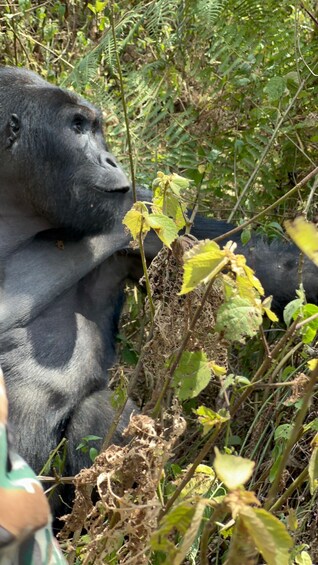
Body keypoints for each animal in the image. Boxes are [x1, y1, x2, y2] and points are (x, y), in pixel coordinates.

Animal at [0, 66, 318, 516]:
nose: (111, 159)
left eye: (95, 129)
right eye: (77, 127)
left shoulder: (139, 213)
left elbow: (264, 264)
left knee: (99, 409)